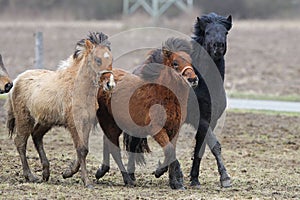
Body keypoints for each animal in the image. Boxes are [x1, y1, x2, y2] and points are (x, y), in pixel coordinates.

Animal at [6, 31, 116, 188]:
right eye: (98, 60)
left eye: (111, 59)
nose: (110, 84)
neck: (79, 89)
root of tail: (16, 81)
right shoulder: (74, 123)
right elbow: (81, 149)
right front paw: (86, 181)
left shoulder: (86, 123)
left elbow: (84, 149)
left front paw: (67, 172)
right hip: (24, 119)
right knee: (20, 142)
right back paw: (30, 176)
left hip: (45, 121)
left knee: (36, 136)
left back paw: (46, 173)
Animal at [96, 37, 199, 189]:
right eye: (175, 63)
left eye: (190, 61)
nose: (193, 79)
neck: (162, 96)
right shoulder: (156, 129)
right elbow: (169, 150)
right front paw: (165, 174)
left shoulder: (174, 129)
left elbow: (171, 152)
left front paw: (174, 182)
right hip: (109, 122)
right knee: (114, 149)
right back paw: (127, 179)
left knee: (109, 142)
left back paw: (102, 171)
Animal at [123, 12, 233, 188]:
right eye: (207, 32)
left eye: (225, 32)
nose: (218, 46)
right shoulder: (201, 119)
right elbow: (215, 144)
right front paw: (225, 177)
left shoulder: (211, 120)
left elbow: (201, 148)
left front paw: (194, 179)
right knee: (134, 143)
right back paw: (131, 176)